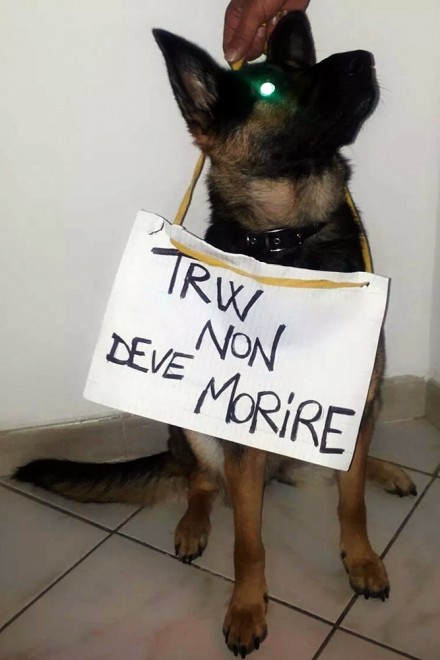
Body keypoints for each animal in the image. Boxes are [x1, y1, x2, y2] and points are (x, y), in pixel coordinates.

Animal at [15, 13, 418, 657]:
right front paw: (247, 608)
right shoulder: (240, 431)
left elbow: (350, 505)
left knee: (339, 469)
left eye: (304, 65)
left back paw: (386, 470)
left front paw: (362, 561)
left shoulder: (347, 409)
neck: (289, 237)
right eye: (270, 88)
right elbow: (248, 543)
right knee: (201, 482)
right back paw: (192, 525)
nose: (363, 58)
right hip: (197, 434)